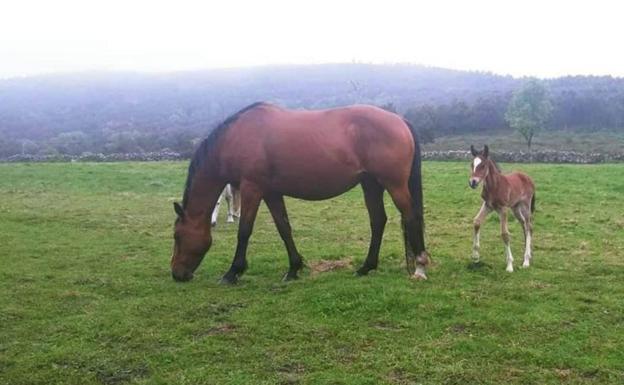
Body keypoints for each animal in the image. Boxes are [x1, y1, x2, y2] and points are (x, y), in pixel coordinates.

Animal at [173, 102, 432, 282]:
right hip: (371, 184)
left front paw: (232, 272)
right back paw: (366, 267)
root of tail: (400, 120)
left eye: (177, 236)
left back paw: (419, 268)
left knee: (411, 217)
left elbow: (244, 231)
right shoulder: (271, 192)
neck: (237, 136)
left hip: (394, 184)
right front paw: (293, 269)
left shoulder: (251, 188)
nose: (177, 274)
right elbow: (284, 228)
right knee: (378, 221)